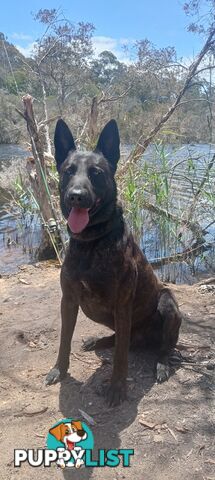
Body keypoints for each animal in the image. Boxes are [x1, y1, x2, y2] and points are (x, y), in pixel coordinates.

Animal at [45, 117, 181, 404]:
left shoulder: (122, 305)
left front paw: (117, 388)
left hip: (167, 302)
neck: (91, 242)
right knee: (121, 339)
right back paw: (98, 342)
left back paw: (162, 364)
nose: (75, 195)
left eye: (96, 173)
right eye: (68, 171)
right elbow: (64, 340)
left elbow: (120, 357)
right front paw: (59, 370)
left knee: (159, 346)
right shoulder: (68, 300)